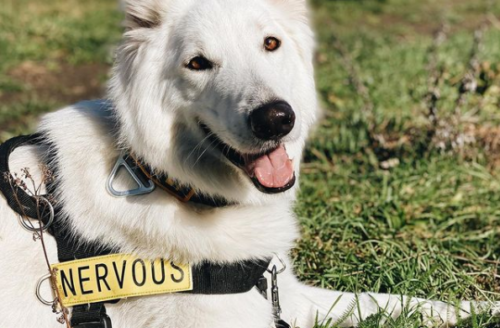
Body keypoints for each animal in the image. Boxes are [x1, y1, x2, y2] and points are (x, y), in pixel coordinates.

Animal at [0, 0, 498, 328]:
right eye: (197, 63)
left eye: (270, 43)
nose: (275, 118)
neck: (168, 183)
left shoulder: (288, 297)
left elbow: (396, 301)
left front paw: (480, 309)